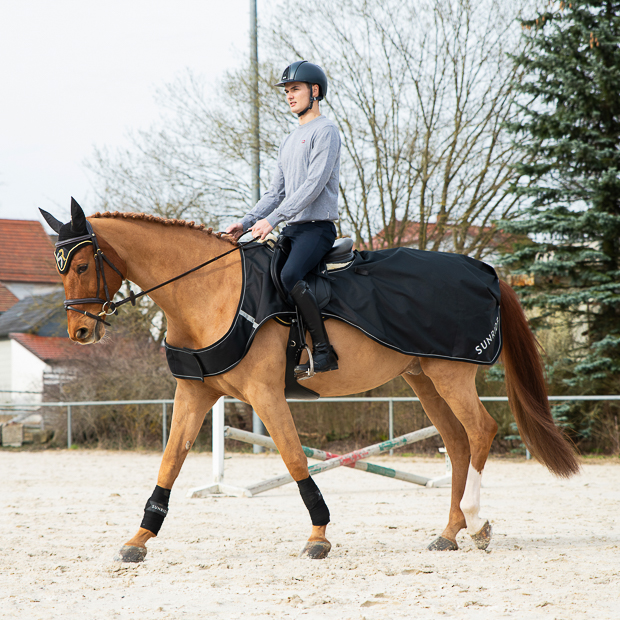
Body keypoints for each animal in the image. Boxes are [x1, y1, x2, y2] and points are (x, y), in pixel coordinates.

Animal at [43, 207, 580, 560]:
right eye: (61, 268)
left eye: (85, 265)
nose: (80, 332)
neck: (211, 291)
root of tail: (485, 270)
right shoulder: (195, 392)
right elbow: (170, 461)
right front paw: (139, 539)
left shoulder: (265, 395)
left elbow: (294, 456)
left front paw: (319, 535)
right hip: (425, 378)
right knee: (459, 443)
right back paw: (450, 531)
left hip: (451, 374)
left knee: (481, 431)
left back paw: (478, 523)